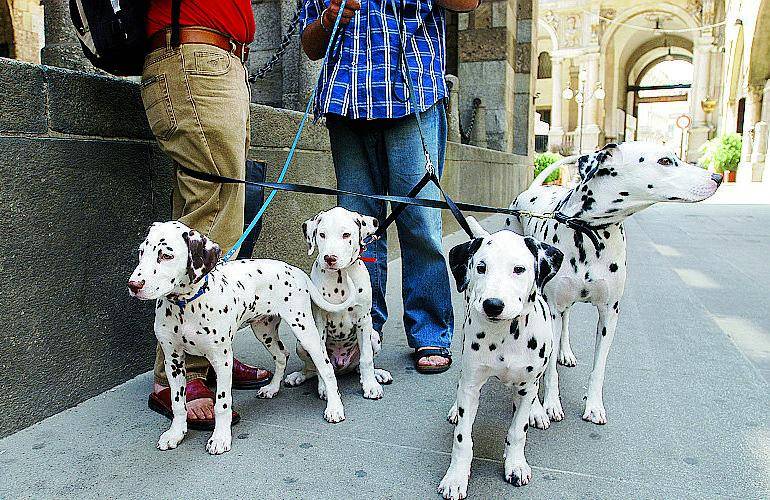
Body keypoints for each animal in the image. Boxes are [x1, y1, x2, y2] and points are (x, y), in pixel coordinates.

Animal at [127, 221, 356, 456]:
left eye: (166, 255)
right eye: (141, 252)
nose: (133, 285)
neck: (185, 305)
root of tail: (295, 270)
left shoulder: (222, 360)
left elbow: (222, 403)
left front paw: (220, 437)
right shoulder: (173, 360)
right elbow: (177, 402)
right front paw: (176, 433)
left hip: (305, 331)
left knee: (326, 368)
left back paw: (334, 407)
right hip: (263, 330)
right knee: (281, 355)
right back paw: (272, 388)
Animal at [284, 206, 392, 398]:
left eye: (346, 235)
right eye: (322, 234)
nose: (330, 258)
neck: (340, 278)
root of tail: (342, 367)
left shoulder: (364, 320)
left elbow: (366, 359)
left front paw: (370, 385)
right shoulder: (320, 323)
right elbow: (322, 363)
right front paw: (325, 388)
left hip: (374, 335)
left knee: (359, 366)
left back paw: (377, 374)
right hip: (302, 344)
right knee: (312, 368)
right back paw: (298, 376)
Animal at [438, 217, 564, 498]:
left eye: (519, 269)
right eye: (481, 267)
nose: (492, 305)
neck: (506, 335)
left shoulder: (527, 385)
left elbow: (518, 431)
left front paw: (515, 464)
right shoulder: (472, 383)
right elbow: (462, 438)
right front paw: (456, 477)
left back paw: (539, 410)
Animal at [504, 142, 720, 430]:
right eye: (665, 161)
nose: (718, 177)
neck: (589, 232)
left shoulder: (609, 314)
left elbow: (599, 367)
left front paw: (594, 406)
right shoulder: (552, 309)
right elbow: (548, 372)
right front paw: (549, 404)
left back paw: (565, 352)